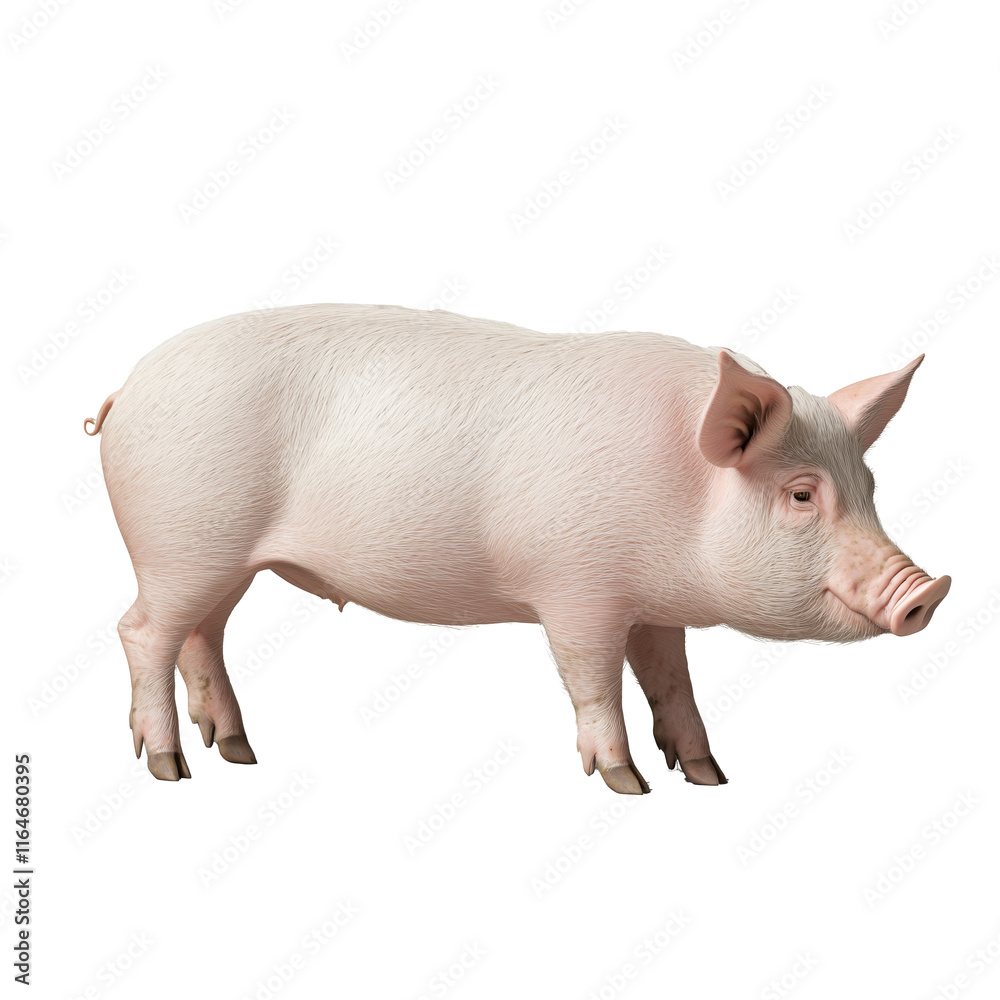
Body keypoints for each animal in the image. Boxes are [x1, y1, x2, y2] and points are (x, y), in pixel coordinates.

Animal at [84, 304, 950, 792]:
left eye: (869, 485)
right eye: (802, 494)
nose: (927, 592)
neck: (683, 495)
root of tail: (123, 391)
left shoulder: (653, 607)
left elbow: (672, 681)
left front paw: (708, 776)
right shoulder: (577, 592)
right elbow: (594, 682)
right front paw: (628, 784)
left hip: (220, 558)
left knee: (202, 635)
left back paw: (239, 753)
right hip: (178, 542)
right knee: (141, 632)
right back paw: (170, 768)